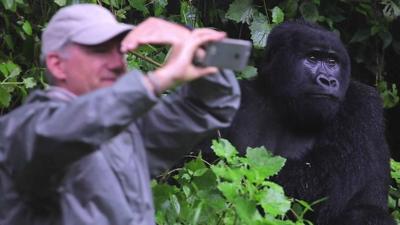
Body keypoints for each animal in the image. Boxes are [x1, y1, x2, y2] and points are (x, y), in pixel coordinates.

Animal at [208, 19, 396, 225]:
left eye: (332, 62)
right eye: (312, 58)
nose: (328, 80)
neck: (281, 104)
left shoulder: (363, 106)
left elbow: (320, 190)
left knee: (367, 213)